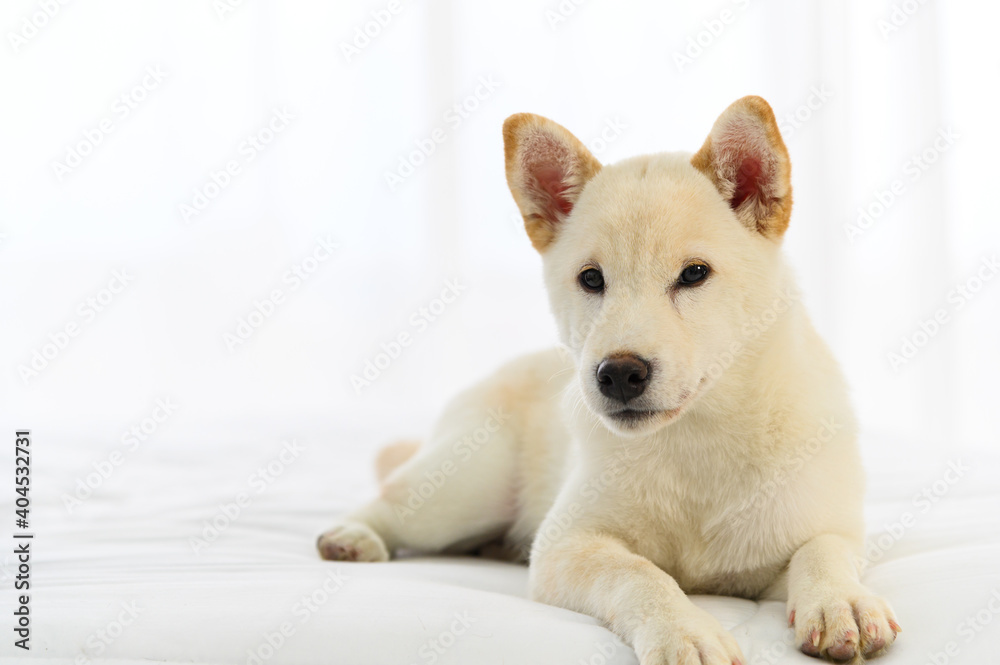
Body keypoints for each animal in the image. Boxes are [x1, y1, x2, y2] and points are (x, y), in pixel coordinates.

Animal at [318, 96, 900, 660]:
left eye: (694, 274)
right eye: (592, 279)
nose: (619, 374)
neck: (696, 442)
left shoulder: (819, 531)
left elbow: (823, 550)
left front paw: (840, 602)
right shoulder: (564, 545)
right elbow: (639, 573)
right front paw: (681, 629)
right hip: (462, 486)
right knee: (395, 500)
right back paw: (355, 534)